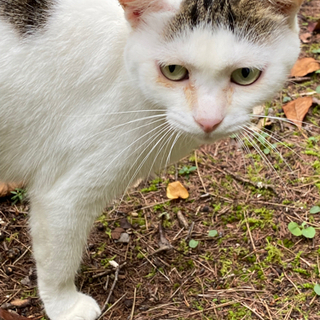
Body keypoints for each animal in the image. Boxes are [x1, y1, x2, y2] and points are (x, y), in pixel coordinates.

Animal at [0, 0, 302, 320]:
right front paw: (64, 305)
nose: (208, 121)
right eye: (173, 70)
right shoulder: (64, 195)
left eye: (245, 74)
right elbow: (58, 258)